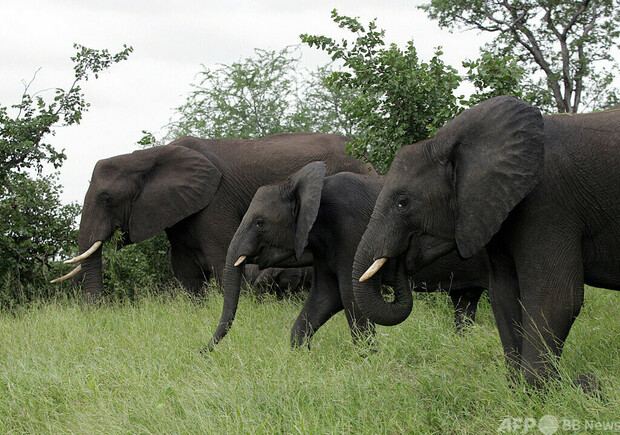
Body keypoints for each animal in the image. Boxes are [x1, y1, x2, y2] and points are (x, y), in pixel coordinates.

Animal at [209, 163, 490, 350]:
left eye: (259, 223)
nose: (204, 352)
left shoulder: (351, 230)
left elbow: (349, 295)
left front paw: (370, 363)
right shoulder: (324, 245)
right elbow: (325, 295)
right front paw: (301, 355)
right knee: (465, 303)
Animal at [354, 94, 620, 388]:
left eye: (403, 202)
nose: (399, 260)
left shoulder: (550, 205)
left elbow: (557, 297)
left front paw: (545, 390)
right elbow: (504, 295)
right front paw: (520, 391)